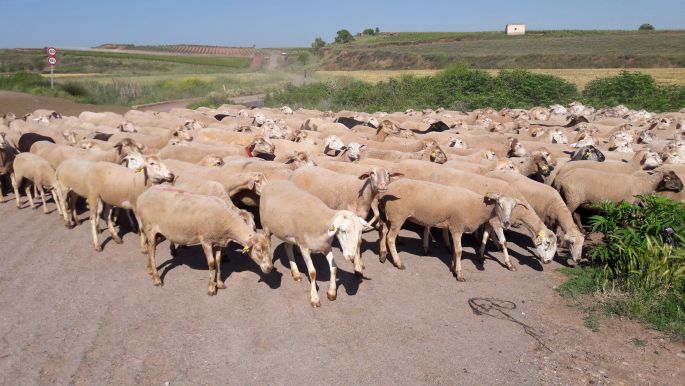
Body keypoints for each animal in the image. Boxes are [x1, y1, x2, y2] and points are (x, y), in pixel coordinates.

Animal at [135, 185, 272, 294]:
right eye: (258, 249)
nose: (269, 268)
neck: (227, 224)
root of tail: (143, 195)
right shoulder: (206, 241)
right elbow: (211, 263)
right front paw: (211, 288)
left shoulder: (218, 242)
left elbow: (218, 261)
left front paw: (220, 284)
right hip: (149, 228)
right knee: (151, 249)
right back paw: (157, 279)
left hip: (163, 232)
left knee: (152, 247)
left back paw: (150, 269)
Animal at [380, 178, 524, 280]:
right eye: (499, 203)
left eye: (514, 206)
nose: (506, 223)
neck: (476, 207)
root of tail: (388, 189)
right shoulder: (456, 227)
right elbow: (459, 251)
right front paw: (459, 273)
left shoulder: (455, 228)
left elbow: (455, 250)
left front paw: (454, 268)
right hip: (398, 217)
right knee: (390, 239)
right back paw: (398, 263)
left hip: (389, 218)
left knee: (383, 232)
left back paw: (382, 255)